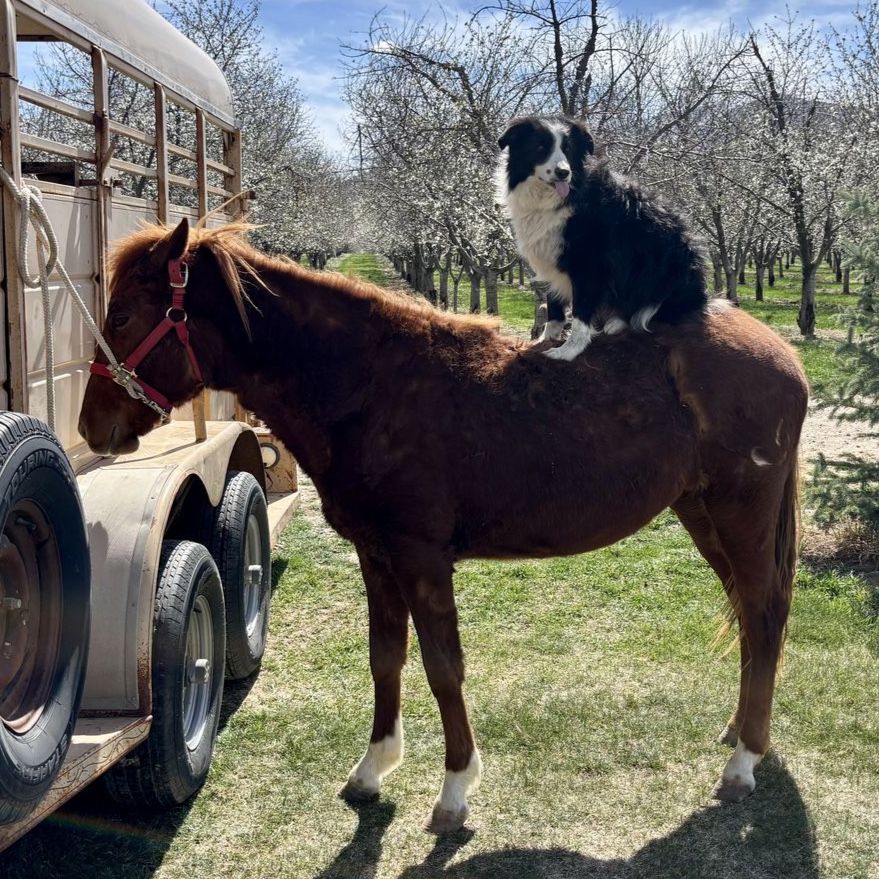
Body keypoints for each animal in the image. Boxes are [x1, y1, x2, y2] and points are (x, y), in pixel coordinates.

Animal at [78, 218, 809, 833]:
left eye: (123, 314)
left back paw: (744, 759)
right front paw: (373, 767)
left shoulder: (421, 557)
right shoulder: (375, 555)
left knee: (764, 611)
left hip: (740, 512)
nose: (92, 425)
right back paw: (740, 729)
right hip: (701, 511)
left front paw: (455, 789)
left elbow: (442, 667)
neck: (369, 384)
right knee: (749, 615)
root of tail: (781, 355)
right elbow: (386, 657)